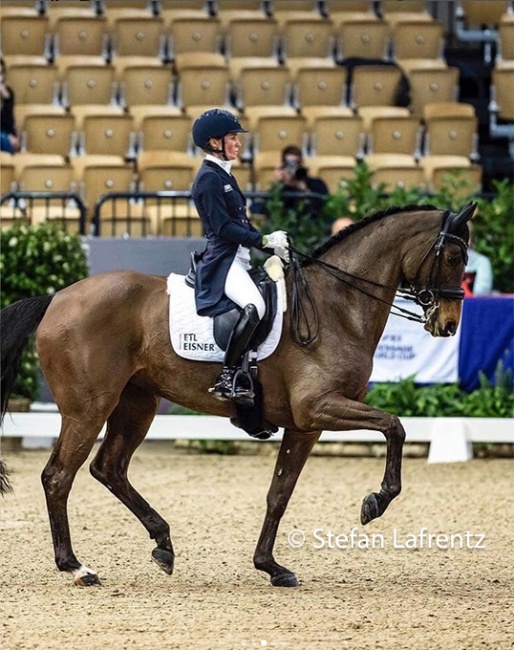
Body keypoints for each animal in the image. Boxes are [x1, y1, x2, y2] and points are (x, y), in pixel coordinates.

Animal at [0, 202, 472, 588]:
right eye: (453, 257)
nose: (448, 325)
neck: (336, 307)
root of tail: (57, 298)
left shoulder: (305, 426)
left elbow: (279, 493)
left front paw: (271, 567)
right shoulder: (318, 409)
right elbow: (395, 426)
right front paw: (376, 501)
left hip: (137, 404)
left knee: (108, 468)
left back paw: (163, 543)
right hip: (88, 408)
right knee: (59, 476)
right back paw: (77, 567)